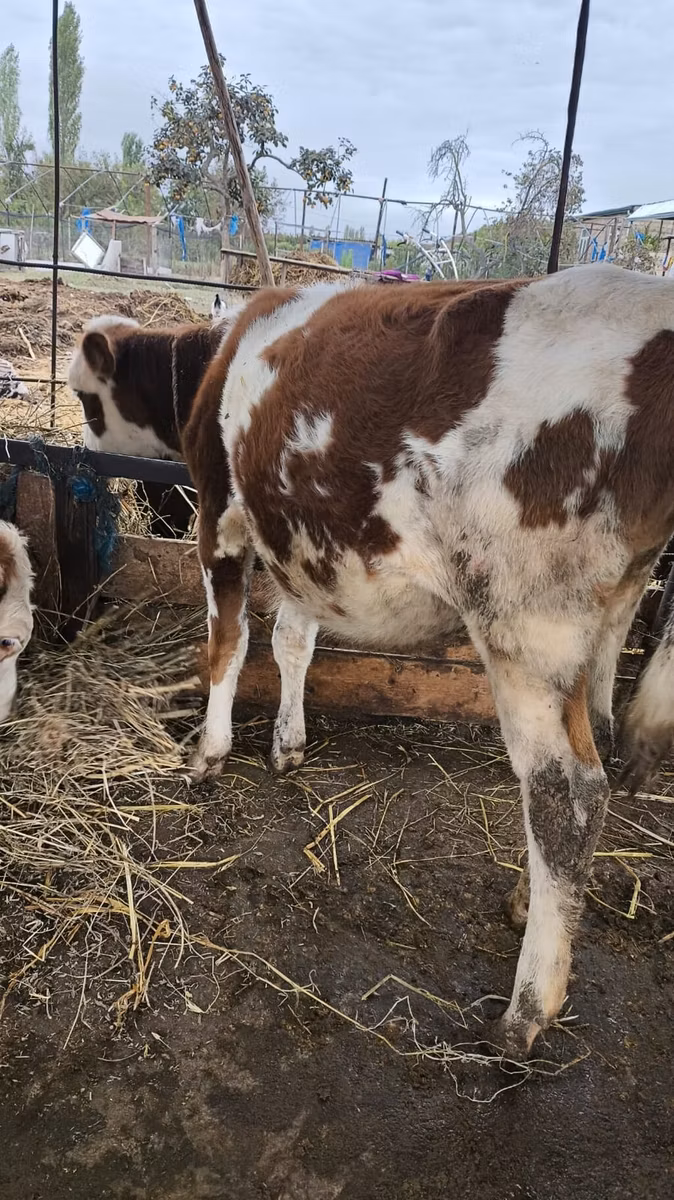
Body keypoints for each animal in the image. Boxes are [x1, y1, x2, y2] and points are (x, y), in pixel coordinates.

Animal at [177, 264, 674, 1058]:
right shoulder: (305, 551)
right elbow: (292, 639)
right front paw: (287, 744)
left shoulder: (221, 511)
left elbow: (229, 644)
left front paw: (210, 754)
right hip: (612, 606)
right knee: (587, 745)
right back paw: (527, 903)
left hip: (526, 618)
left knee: (566, 793)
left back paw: (527, 1009)